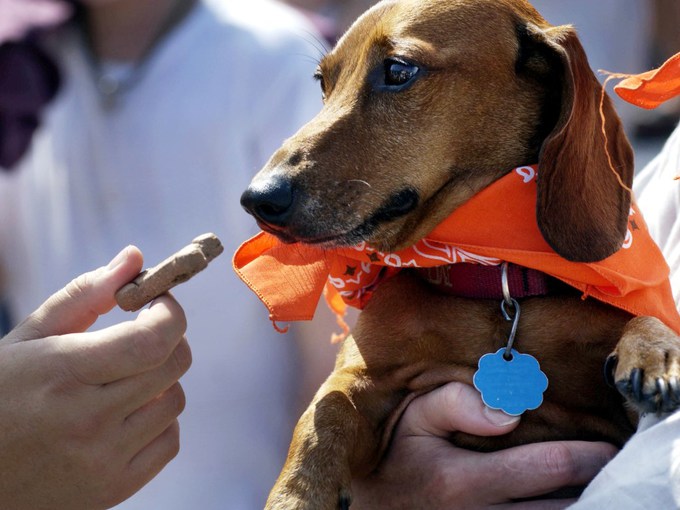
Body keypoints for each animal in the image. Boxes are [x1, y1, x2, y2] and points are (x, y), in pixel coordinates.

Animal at [238, 0, 680, 508]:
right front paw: (295, 495)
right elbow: (324, 411)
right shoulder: (368, 380)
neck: (492, 275)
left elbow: (644, 317)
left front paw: (656, 349)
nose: (257, 199)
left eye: (398, 70)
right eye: (323, 82)